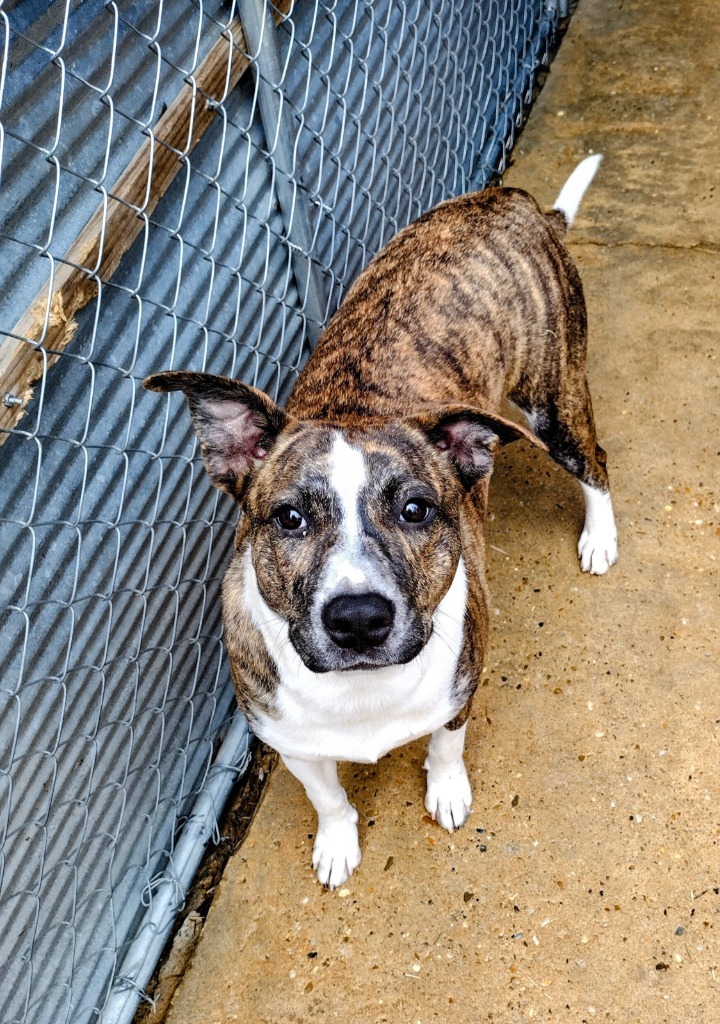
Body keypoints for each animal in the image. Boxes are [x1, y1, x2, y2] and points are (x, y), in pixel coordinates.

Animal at [142, 151, 618, 888]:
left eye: (415, 509)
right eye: (289, 518)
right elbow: (328, 796)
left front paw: (446, 792)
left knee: (596, 462)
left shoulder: (461, 693)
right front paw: (337, 842)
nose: (359, 618)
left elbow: (445, 750)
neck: (362, 694)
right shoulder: (292, 743)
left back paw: (600, 536)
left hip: (553, 401)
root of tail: (511, 199)